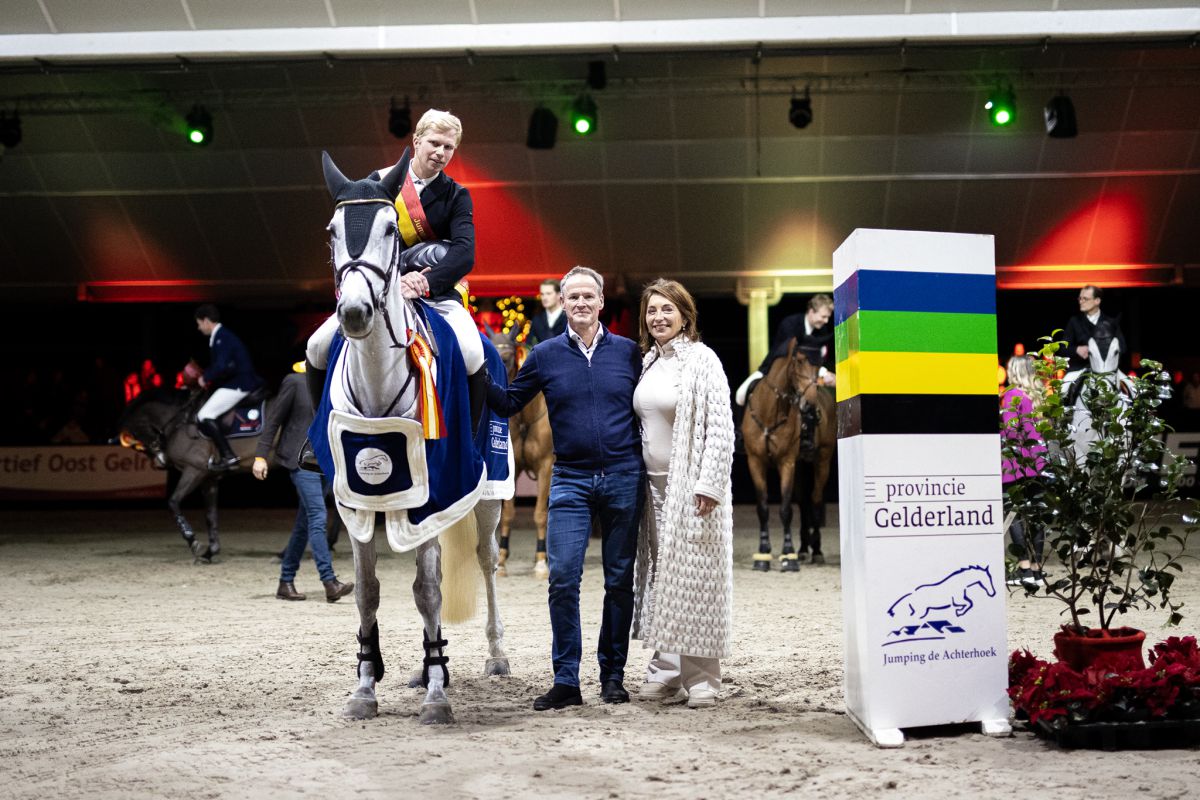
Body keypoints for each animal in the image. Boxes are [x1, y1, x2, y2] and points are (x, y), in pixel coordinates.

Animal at [118, 388, 261, 563]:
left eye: (138, 439)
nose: (160, 462)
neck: (179, 421)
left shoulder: (194, 470)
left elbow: (173, 502)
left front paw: (192, 540)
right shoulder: (209, 478)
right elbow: (210, 515)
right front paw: (210, 552)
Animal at [314, 153, 506, 729]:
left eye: (388, 232)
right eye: (332, 232)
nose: (354, 313)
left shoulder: (432, 493)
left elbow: (426, 589)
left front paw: (438, 697)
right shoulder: (354, 499)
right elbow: (368, 593)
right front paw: (365, 684)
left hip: (486, 493)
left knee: (485, 561)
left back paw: (493, 656)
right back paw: (423, 667)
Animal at [482, 328, 552, 578]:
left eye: (508, 356)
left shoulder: (546, 467)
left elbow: (540, 514)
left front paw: (541, 562)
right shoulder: (512, 470)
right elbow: (508, 515)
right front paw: (502, 559)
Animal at [734, 340, 830, 573]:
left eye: (819, 366)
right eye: (799, 361)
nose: (810, 406)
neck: (771, 411)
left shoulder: (786, 462)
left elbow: (786, 509)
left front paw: (789, 555)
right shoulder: (755, 462)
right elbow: (762, 508)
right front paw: (762, 555)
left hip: (822, 460)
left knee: (815, 500)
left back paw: (816, 551)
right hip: (802, 465)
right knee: (804, 503)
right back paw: (804, 549)